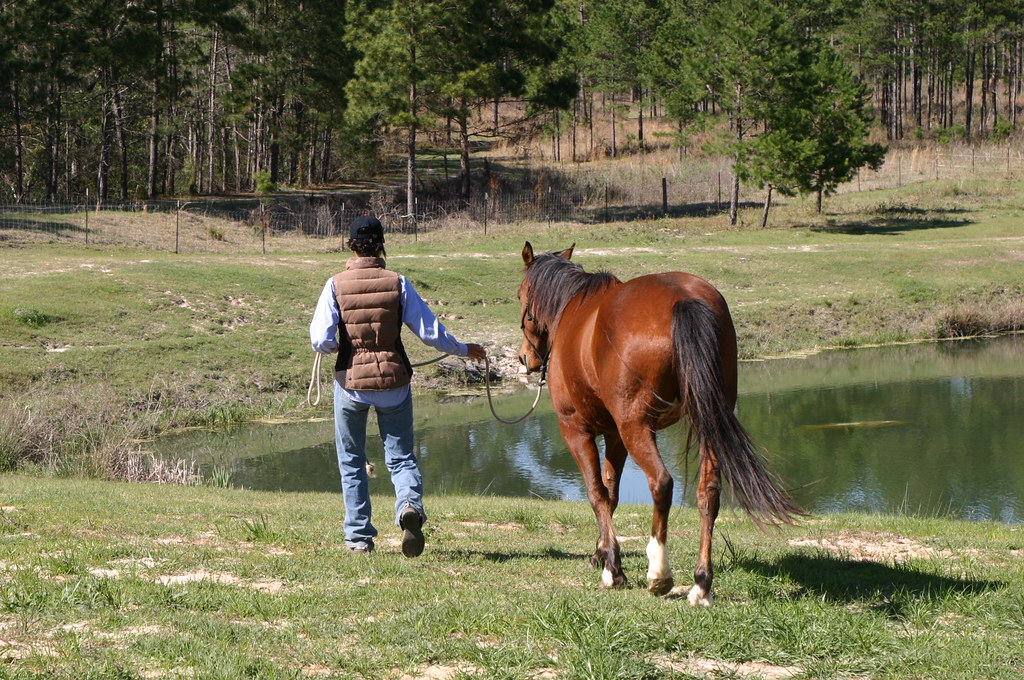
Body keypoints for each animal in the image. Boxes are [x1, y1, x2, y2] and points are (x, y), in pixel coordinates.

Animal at [517, 242, 802, 606]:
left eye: (521, 295)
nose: (525, 358)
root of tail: (683, 299)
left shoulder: (577, 430)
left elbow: (597, 493)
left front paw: (612, 569)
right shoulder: (615, 436)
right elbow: (611, 493)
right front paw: (603, 555)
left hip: (637, 428)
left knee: (662, 483)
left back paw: (659, 574)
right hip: (706, 421)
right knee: (708, 492)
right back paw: (701, 584)